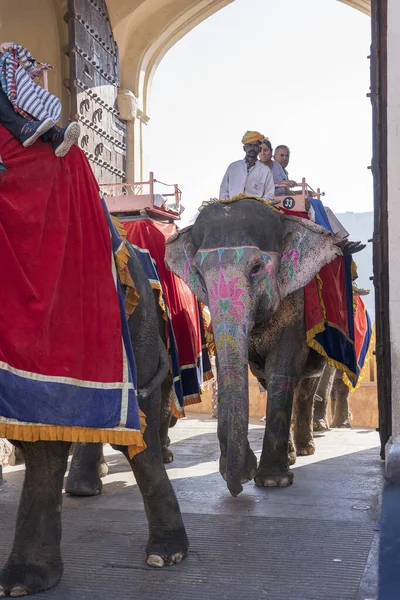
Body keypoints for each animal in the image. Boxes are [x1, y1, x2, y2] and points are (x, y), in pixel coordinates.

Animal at [164, 197, 342, 496]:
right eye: (198, 273)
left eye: (256, 268)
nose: (238, 484)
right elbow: (229, 368)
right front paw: (237, 471)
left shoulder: (296, 305)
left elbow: (281, 369)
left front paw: (272, 481)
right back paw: (293, 455)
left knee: (305, 384)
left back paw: (306, 450)